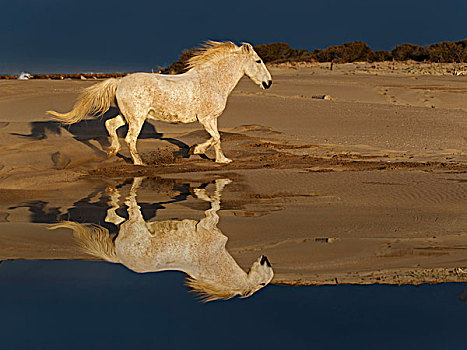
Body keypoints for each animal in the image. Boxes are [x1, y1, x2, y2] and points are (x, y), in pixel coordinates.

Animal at [45, 41, 272, 165]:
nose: (268, 83)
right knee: (130, 138)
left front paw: (214, 157)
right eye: (258, 61)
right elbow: (216, 137)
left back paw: (112, 151)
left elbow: (216, 138)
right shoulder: (206, 118)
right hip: (137, 118)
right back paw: (139, 163)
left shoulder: (212, 119)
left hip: (128, 116)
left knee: (110, 125)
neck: (212, 80)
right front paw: (203, 153)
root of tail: (119, 82)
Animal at [52, 178, 274, 300]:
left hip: (129, 225)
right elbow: (215, 204)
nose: (266, 260)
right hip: (136, 220)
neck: (215, 261)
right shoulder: (207, 225)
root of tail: (119, 257)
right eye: (263, 283)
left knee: (113, 218)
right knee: (130, 205)